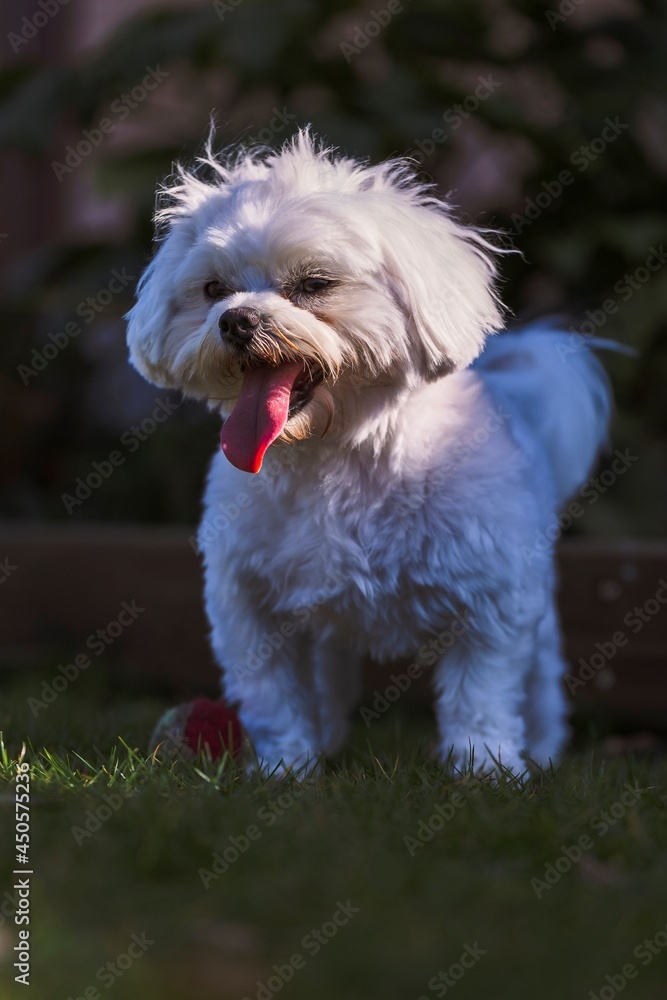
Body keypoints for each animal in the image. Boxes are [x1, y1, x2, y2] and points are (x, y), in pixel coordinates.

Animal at [125, 129, 612, 776]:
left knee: (540, 682)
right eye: (213, 291)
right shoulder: (249, 603)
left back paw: (545, 748)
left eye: (314, 283)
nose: (236, 319)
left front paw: (483, 770)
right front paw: (286, 768)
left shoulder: (493, 598)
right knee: (326, 677)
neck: (337, 453)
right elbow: (276, 696)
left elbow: (481, 692)